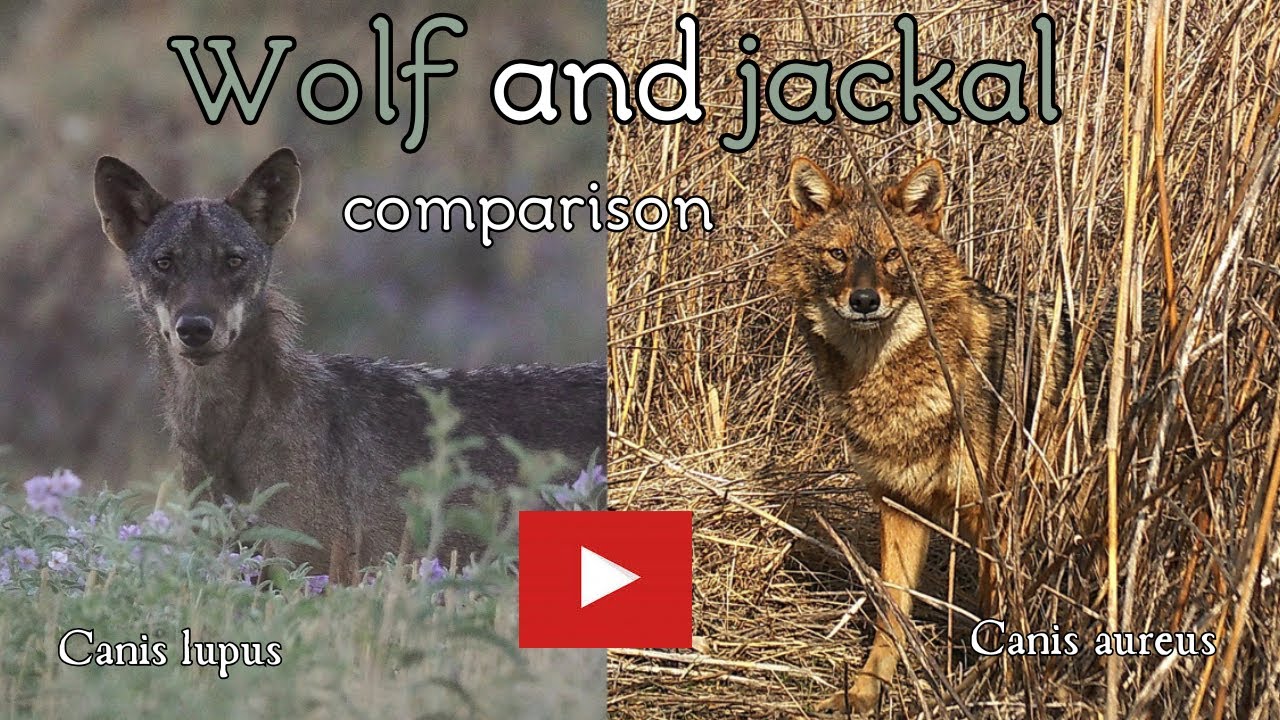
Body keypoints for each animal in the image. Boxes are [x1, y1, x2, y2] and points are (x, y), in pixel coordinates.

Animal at [768, 156, 1114, 714]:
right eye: (837, 254)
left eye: (893, 255)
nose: (864, 300)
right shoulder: (898, 506)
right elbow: (891, 612)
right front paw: (866, 689)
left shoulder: (995, 516)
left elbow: (1000, 611)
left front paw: (998, 688)